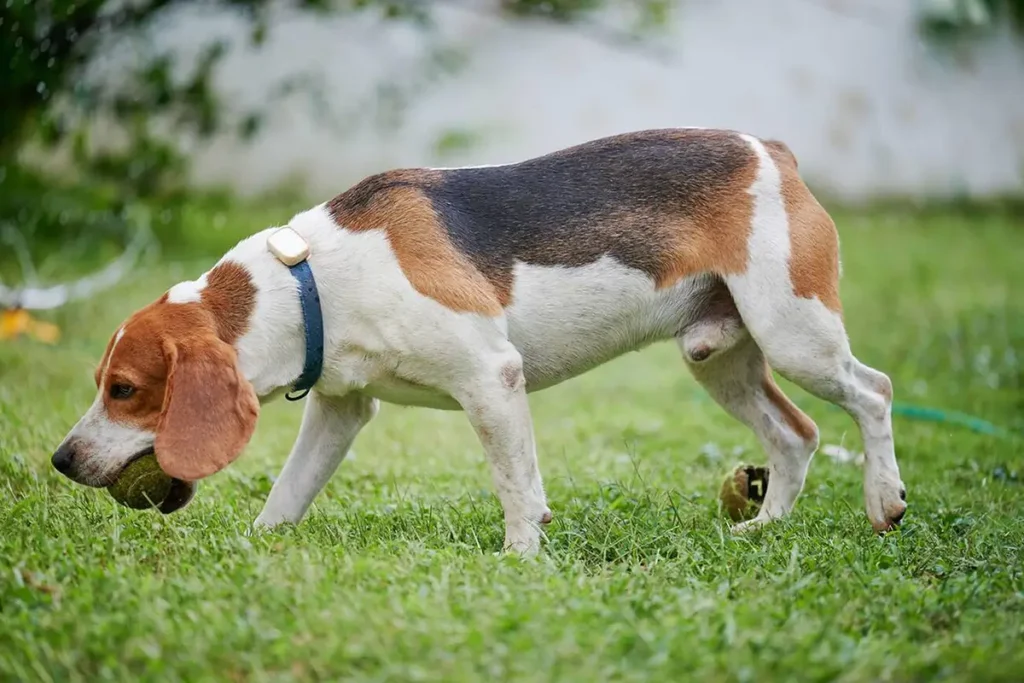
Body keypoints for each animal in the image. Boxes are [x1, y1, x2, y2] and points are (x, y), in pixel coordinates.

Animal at [51, 129, 909, 557]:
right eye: (100, 381)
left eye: (124, 389)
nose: (60, 459)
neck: (312, 280)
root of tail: (771, 151)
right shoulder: (340, 408)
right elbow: (287, 492)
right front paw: (256, 547)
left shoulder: (490, 377)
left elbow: (515, 485)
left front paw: (522, 557)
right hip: (720, 358)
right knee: (796, 434)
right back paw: (766, 528)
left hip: (795, 333)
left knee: (874, 392)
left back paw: (884, 498)